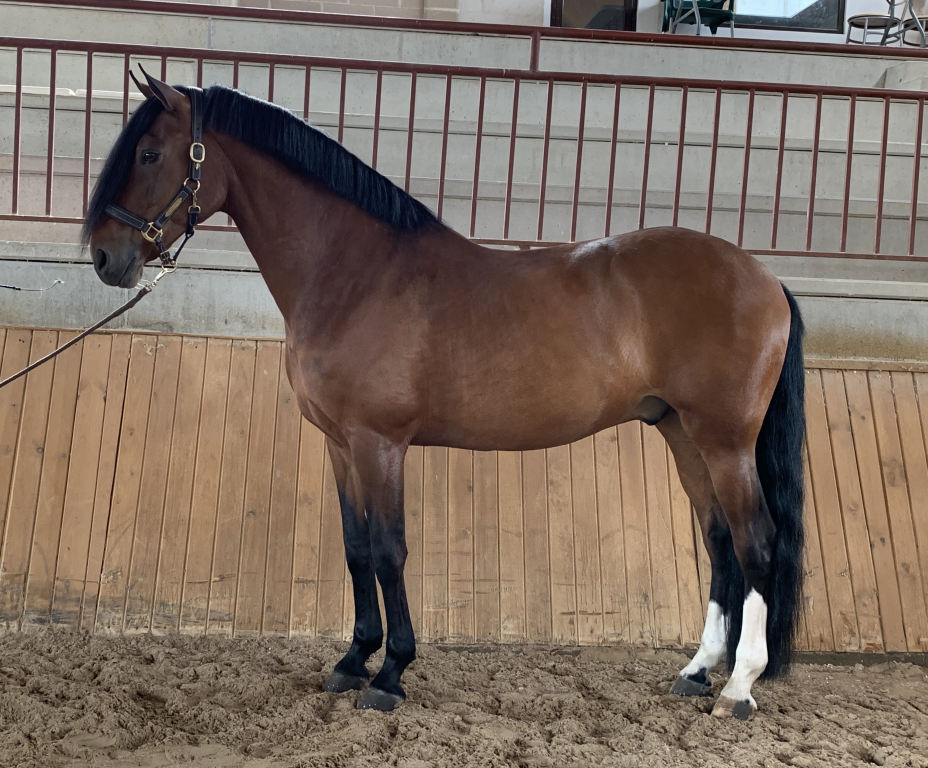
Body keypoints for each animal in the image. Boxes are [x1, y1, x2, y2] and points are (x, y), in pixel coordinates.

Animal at [84, 70, 805, 720]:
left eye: (149, 154)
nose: (104, 259)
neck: (354, 274)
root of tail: (765, 277)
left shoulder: (379, 444)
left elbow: (389, 549)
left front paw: (390, 674)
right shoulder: (340, 444)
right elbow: (355, 548)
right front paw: (353, 660)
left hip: (724, 440)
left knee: (756, 542)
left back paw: (739, 687)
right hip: (682, 432)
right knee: (719, 540)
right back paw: (697, 672)